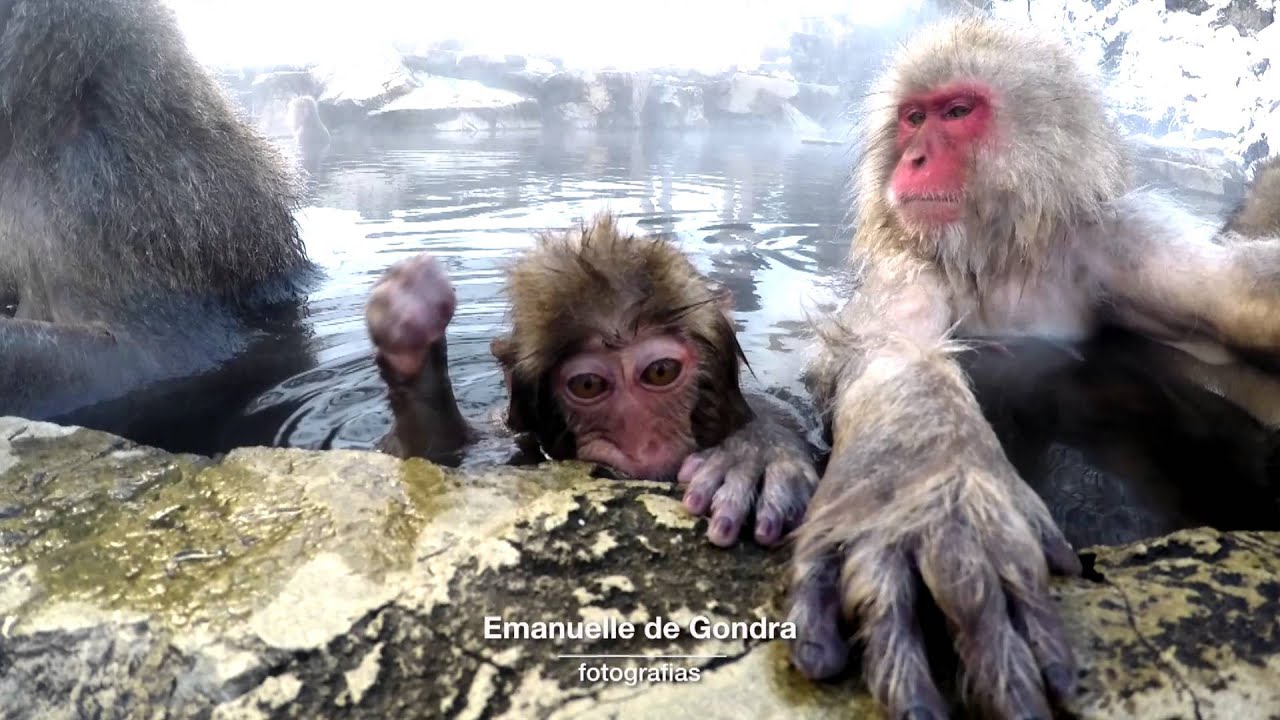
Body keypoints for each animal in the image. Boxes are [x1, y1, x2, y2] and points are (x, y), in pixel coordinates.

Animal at [363, 211, 819, 543]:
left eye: (660, 371)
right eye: (588, 385)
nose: (643, 443)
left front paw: (757, 454)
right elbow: (432, 459)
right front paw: (411, 345)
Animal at [783, 15, 1280, 717]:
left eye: (956, 112)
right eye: (913, 118)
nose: (913, 159)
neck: (1001, 258)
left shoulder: (1127, 247)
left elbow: (1236, 294)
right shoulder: (910, 263)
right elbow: (893, 346)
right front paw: (927, 483)